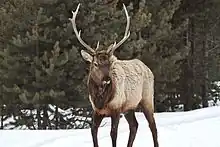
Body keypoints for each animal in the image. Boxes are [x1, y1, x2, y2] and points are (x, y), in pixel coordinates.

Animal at [69, 3, 158, 147]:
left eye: (110, 63)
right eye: (95, 64)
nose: (107, 79)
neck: (101, 100)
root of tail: (147, 67)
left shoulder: (116, 108)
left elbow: (113, 133)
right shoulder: (96, 110)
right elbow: (93, 131)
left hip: (147, 99)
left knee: (152, 126)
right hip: (129, 108)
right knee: (134, 125)